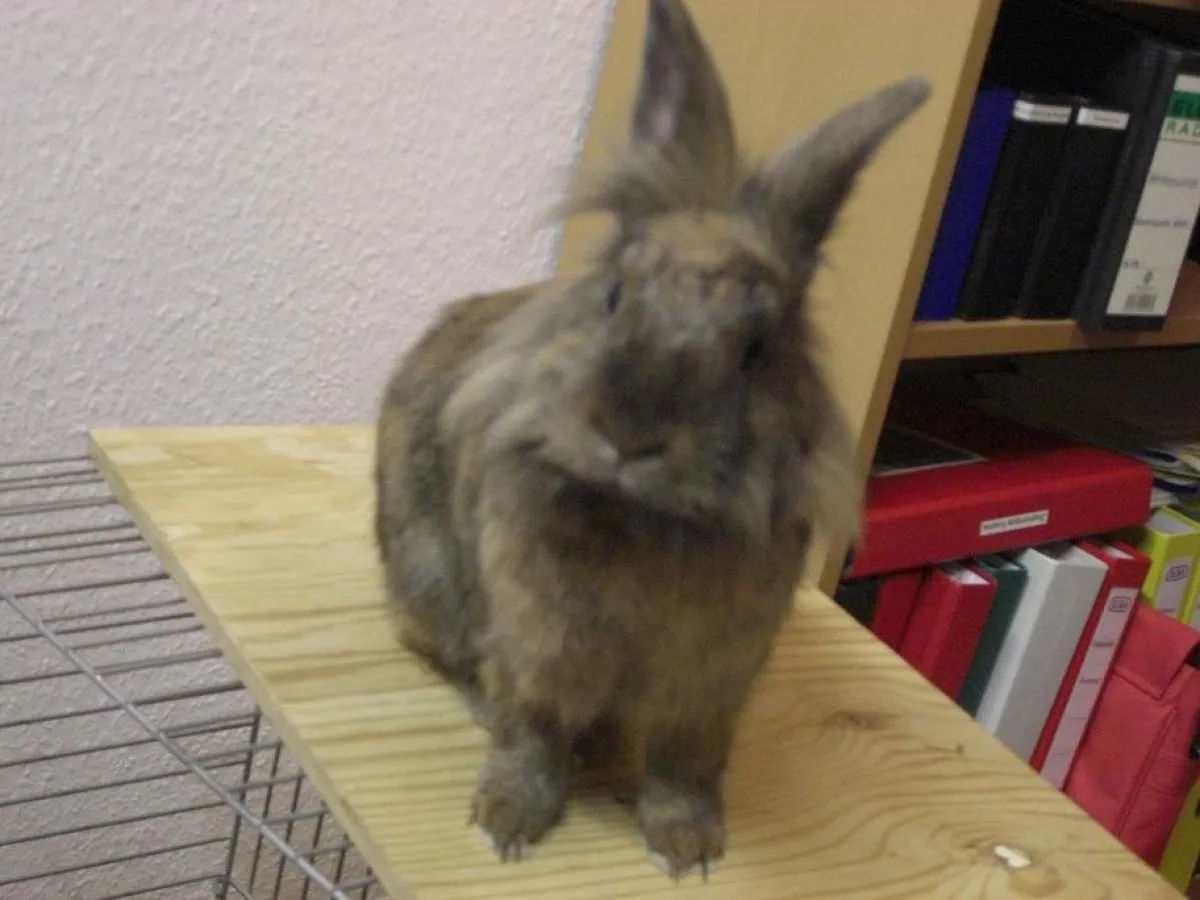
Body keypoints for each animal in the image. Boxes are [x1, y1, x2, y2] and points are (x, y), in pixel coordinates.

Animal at [373, 0, 930, 880]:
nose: (631, 437)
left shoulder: (707, 689)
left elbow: (685, 768)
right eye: (614, 295)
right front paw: (508, 824)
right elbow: (529, 735)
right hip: (428, 580)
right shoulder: (537, 652)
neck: (642, 517)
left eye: (757, 349)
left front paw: (689, 848)